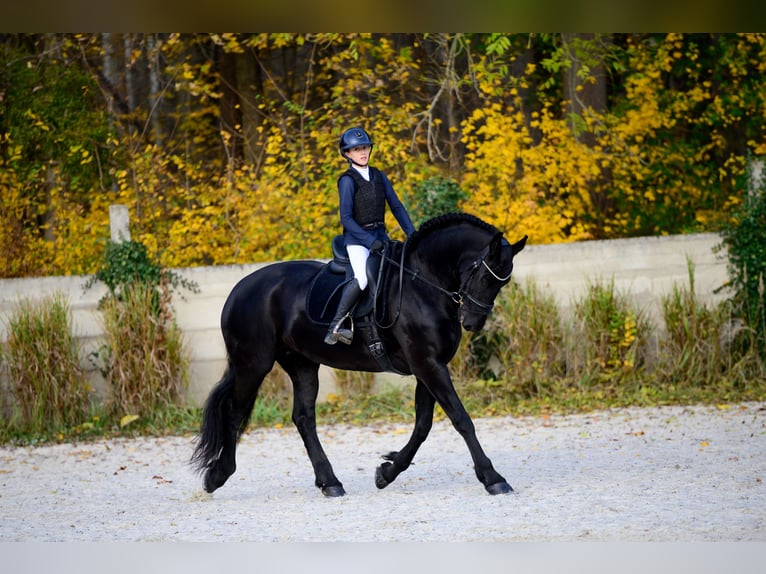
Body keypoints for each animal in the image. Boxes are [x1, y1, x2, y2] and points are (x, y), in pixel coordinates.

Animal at [192, 214, 528, 498]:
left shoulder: (429, 366)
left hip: (302, 364)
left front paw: (387, 471)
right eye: (484, 276)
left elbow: (423, 425)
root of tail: (239, 290)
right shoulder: (428, 365)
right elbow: (461, 418)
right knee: (234, 413)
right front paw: (493, 478)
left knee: (303, 418)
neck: (422, 283)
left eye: (503, 282)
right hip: (253, 364)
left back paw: (330, 483)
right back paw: (217, 476)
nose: (472, 323)